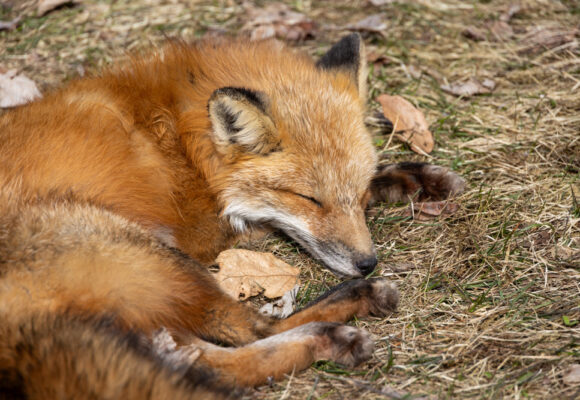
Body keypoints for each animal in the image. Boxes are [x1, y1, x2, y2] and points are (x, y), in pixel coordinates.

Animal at [0, 34, 462, 396]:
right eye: (309, 199)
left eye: (359, 192)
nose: (367, 263)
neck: (182, 140)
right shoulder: (207, 232)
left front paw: (417, 177)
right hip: (153, 256)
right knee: (254, 329)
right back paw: (345, 315)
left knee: (208, 363)